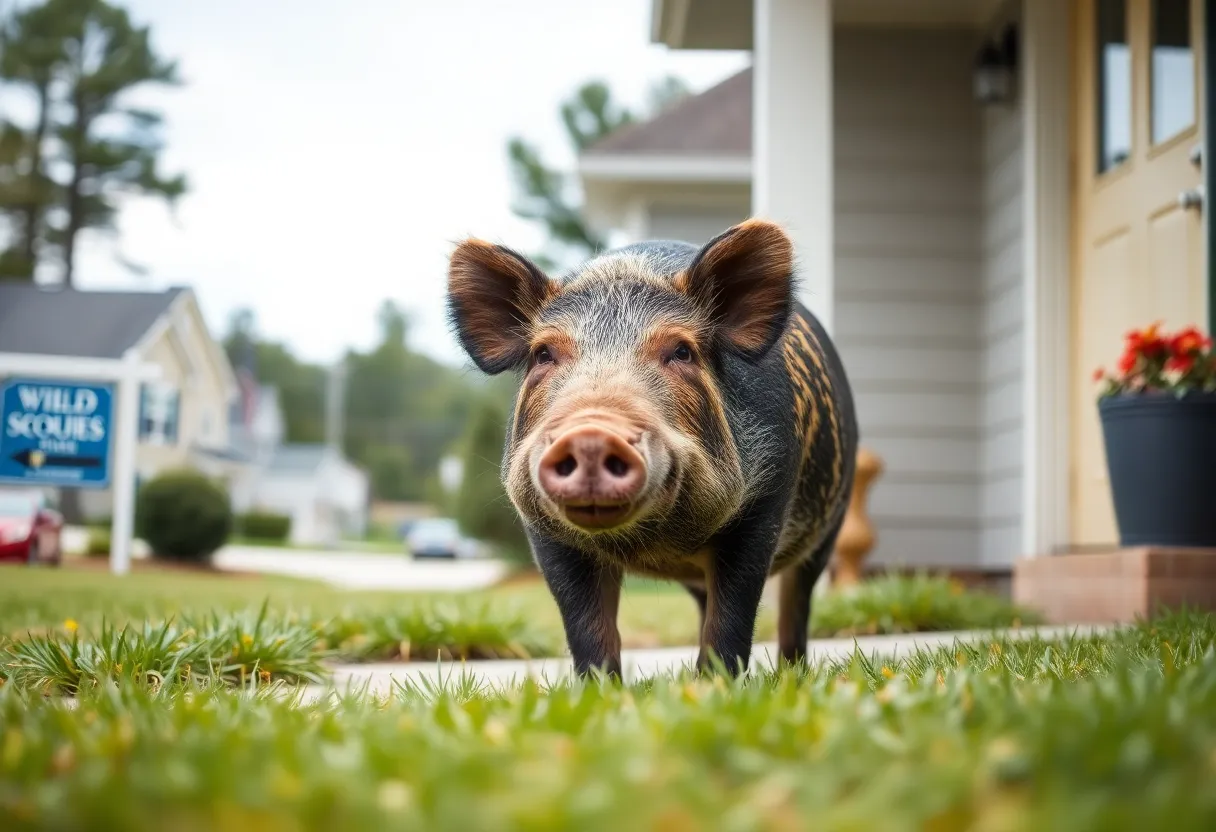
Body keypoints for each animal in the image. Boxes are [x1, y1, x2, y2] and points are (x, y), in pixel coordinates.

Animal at [446, 219, 858, 678]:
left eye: (682, 351)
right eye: (543, 354)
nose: (591, 434)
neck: (656, 545)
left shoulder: (765, 503)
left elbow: (731, 621)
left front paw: (716, 686)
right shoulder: (545, 532)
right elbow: (589, 631)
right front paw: (602, 690)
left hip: (831, 524)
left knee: (796, 606)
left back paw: (792, 675)